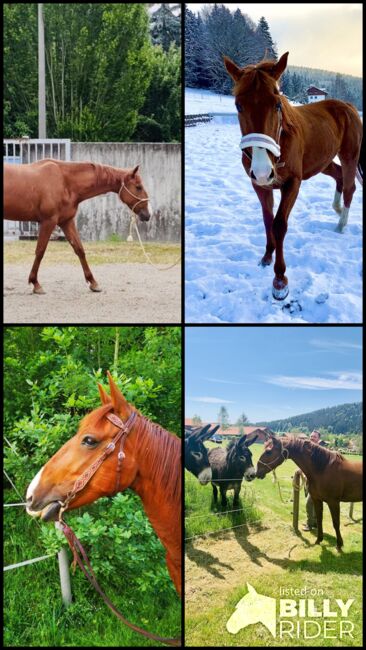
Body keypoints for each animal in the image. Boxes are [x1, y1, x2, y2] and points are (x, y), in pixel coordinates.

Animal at [3, 159, 151, 294]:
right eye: (138, 187)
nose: (147, 215)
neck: (65, 181)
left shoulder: (66, 222)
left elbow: (79, 249)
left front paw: (93, 282)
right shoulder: (48, 222)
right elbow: (40, 251)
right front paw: (36, 284)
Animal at [224, 51, 362, 298]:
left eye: (277, 104)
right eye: (239, 105)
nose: (263, 170)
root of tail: (347, 106)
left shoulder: (292, 184)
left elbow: (279, 225)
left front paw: (280, 280)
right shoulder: (259, 185)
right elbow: (267, 220)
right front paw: (267, 256)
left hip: (349, 156)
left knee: (349, 187)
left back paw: (341, 224)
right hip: (322, 160)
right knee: (338, 176)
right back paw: (337, 210)